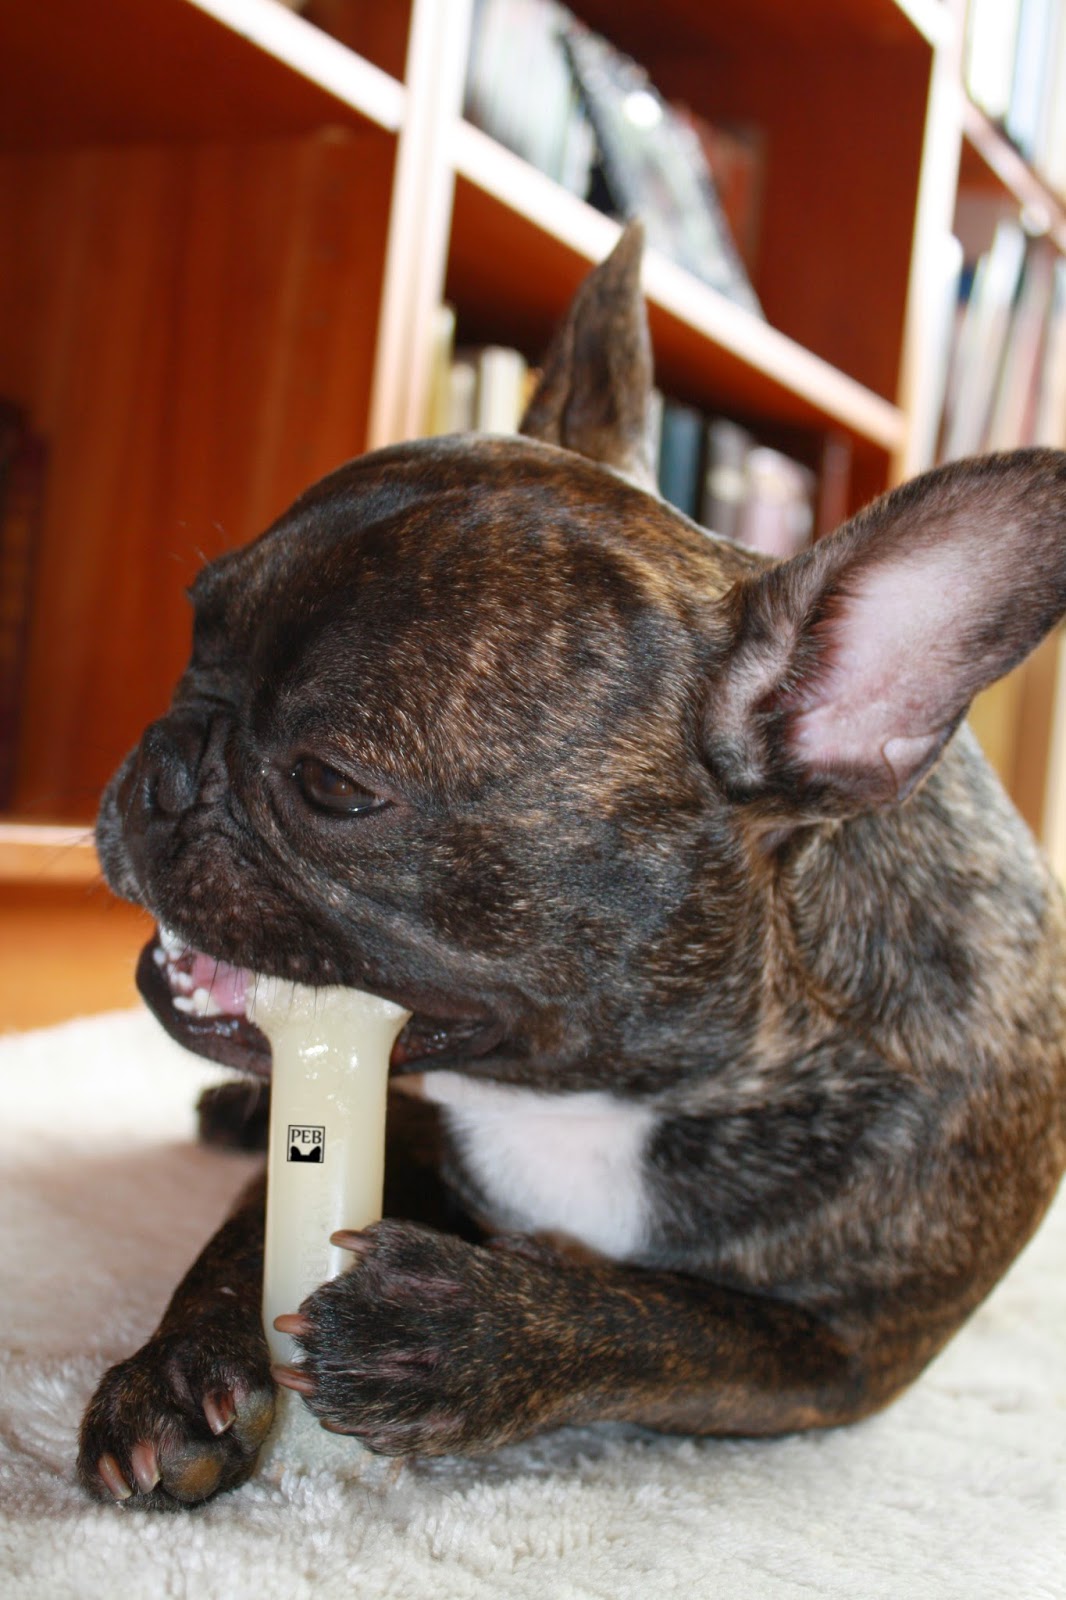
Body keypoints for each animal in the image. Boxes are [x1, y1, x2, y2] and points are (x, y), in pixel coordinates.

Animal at [79, 225, 1066, 1508]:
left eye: (335, 785)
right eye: (196, 628)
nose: (166, 757)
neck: (624, 1087)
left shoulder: (841, 1351)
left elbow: (676, 1322)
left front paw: (467, 1332)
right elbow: (243, 1234)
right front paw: (177, 1367)